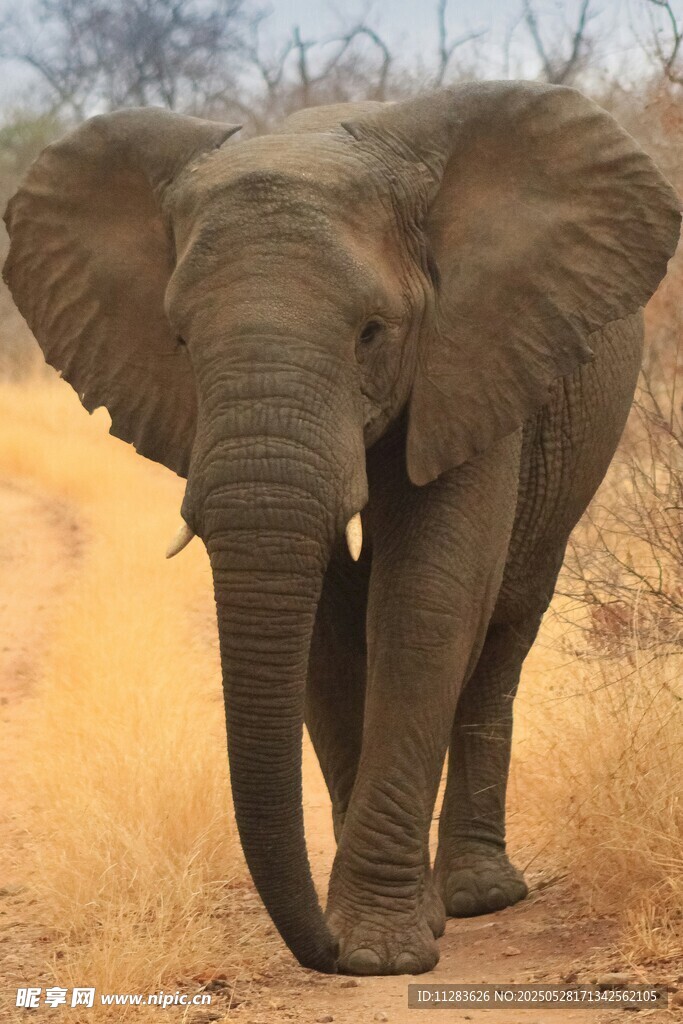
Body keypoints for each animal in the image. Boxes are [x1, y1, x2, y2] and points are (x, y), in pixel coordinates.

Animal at [3, 81, 680, 977]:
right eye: (178, 339)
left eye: (371, 333)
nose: (315, 951)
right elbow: (323, 633)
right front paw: (381, 931)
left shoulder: (470, 356)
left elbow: (428, 600)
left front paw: (379, 952)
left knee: (504, 627)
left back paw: (480, 895)